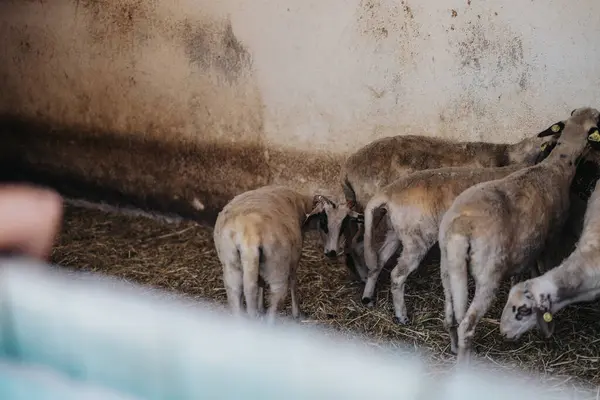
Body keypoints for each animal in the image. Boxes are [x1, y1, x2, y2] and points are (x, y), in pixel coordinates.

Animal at [212, 186, 330, 324]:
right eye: (324, 218)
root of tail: (250, 237)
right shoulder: (294, 259)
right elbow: (293, 281)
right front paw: (297, 313)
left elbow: (261, 283)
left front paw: (261, 307)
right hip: (277, 265)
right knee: (278, 294)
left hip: (231, 263)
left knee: (235, 291)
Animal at [356, 139, 556, 318]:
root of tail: (387, 194)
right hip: (416, 238)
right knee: (397, 275)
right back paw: (401, 316)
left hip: (395, 232)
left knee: (377, 262)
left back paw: (368, 297)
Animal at [436, 107, 600, 366]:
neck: (555, 167)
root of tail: (462, 228)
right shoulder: (551, 236)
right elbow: (544, 267)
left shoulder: (526, 244)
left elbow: (521, 273)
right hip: (487, 274)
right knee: (467, 325)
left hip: (447, 266)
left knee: (450, 315)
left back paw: (452, 348)